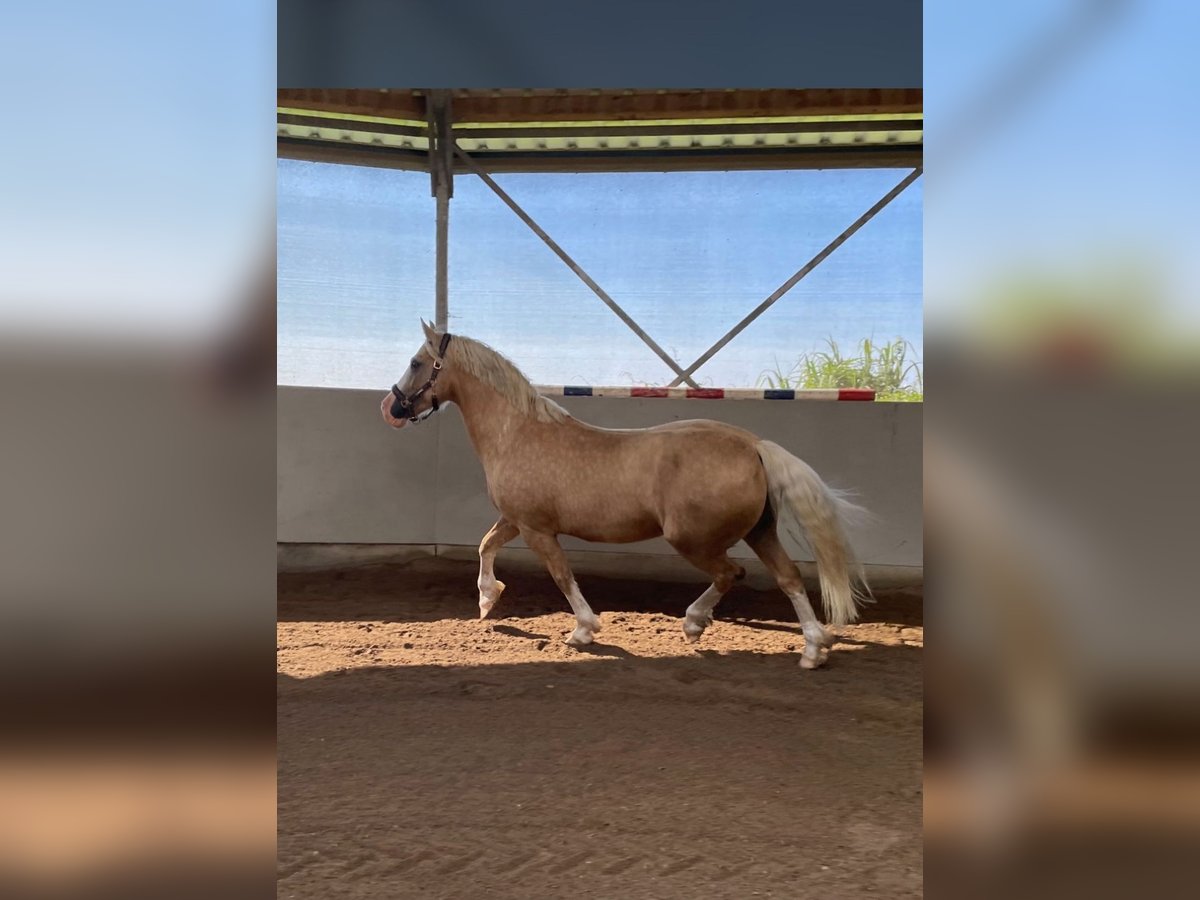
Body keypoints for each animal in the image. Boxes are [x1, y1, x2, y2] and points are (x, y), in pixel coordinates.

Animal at [379, 321, 868, 672]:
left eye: (416, 362)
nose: (392, 407)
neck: (517, 433)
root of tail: (753, 445)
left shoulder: (538, 530)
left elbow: (563, 577)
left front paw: (583, 631)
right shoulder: (517, 520)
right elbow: (485, 545)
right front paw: (486, 600)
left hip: (695, 540)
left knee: (732, 574)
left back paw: (694, 623)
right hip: (760, 532)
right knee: (789, 578)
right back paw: (813, 650)